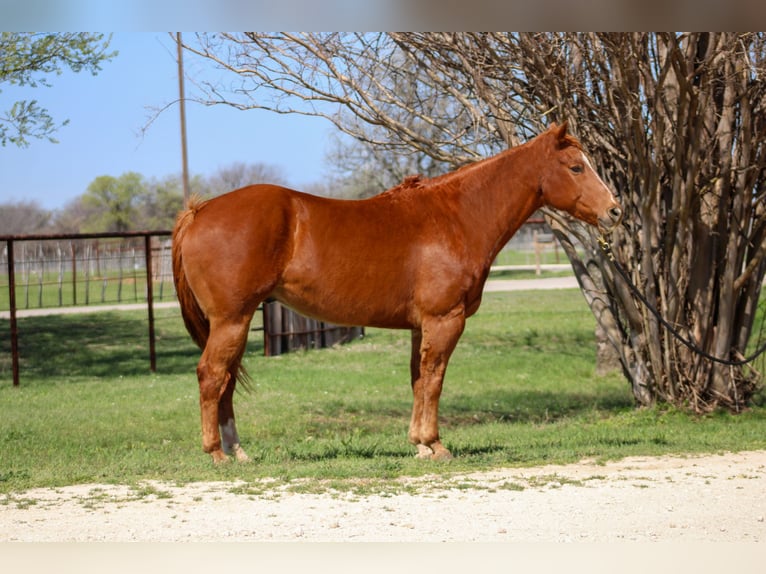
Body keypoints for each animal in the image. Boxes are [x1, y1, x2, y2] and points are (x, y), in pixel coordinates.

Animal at [172, 121, 624, 464]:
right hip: (232, 320)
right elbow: (435, 379)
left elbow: (418, 380)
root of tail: (198, 213)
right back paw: (217, 454)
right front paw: (435, 445)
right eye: (576, 167)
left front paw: (420, 445)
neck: (457, 217)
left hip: (235, 322)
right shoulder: (445, 320)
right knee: (211, 376)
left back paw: (239, 452)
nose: (615, 211)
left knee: (226, 381)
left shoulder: (420, 326)